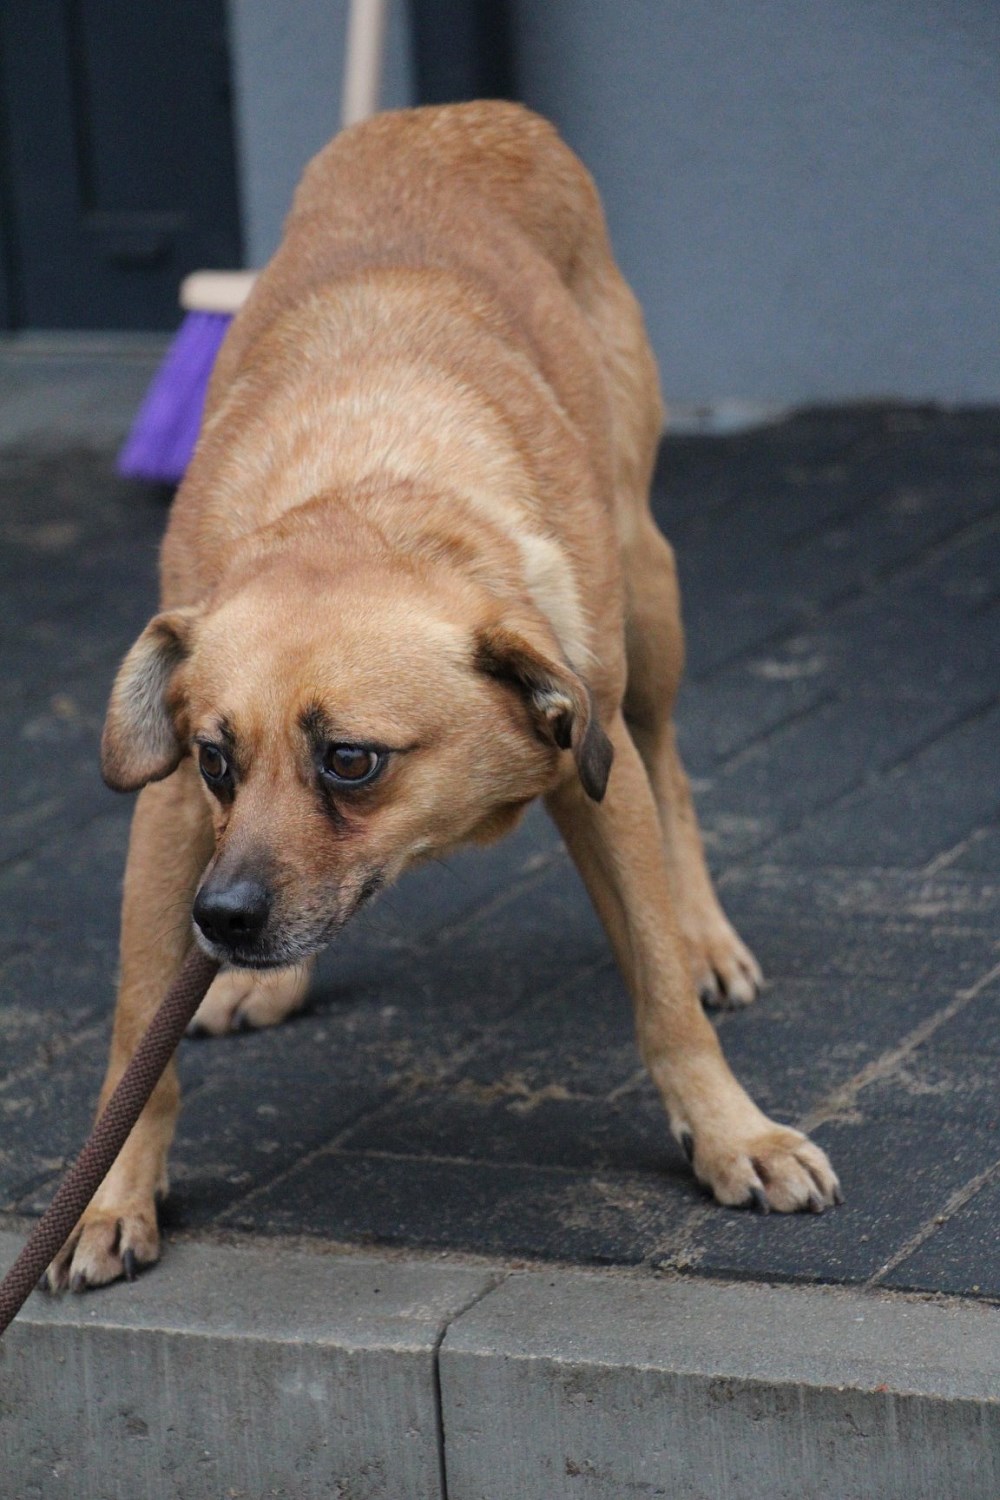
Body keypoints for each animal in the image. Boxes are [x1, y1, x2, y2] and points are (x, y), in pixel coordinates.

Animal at [46, 102, 839, 1290]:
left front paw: (730, 1133)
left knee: (673, 772)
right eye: (217, 761)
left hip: (648, 602)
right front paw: (112, 1194)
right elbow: (141, 1026)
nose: (220, 922)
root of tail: (450, 114)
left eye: (352, 761)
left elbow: (657, 988)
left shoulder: (595, 773)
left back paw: (706, 935)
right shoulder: (174, 815)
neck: (365, 492)